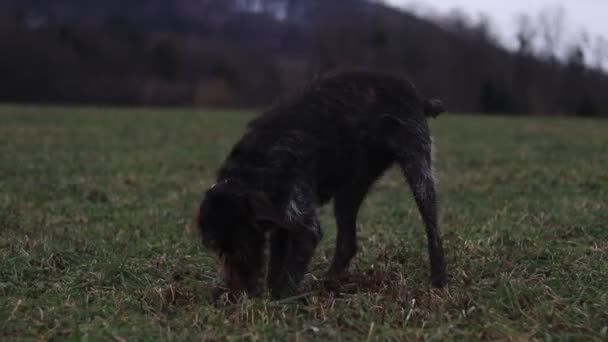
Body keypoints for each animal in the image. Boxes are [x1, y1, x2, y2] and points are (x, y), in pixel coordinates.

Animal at [198, 69, 446, 300]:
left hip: (418, 166)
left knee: (432, 228)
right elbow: (276, 265)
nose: (236, 294)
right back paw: (329, 283)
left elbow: (290, 272)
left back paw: (439, 280)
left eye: (243, 246)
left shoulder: (304, 222)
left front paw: (279, 301)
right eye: (218, 250)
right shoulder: (282, 220)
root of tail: (416, 96)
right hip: (350, 188)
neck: (255, 167)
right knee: (347, 242)